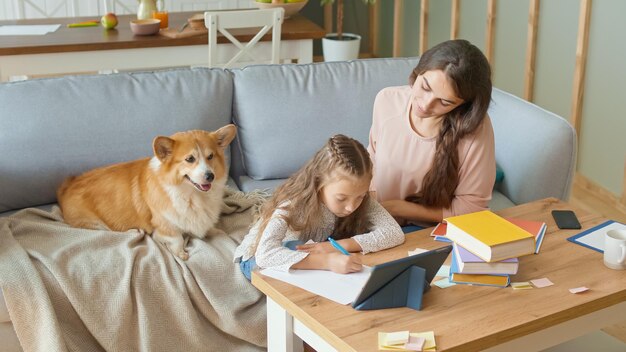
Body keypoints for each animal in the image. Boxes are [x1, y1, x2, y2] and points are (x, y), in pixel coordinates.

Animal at [58, 125, 236, 260]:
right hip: (96, 224)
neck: (192, 195)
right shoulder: (163, 226)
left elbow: (213, 228)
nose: (210, 176)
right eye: (190, 159)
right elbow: (177, 238)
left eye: (210, 156)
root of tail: (67, 186)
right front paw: (180, 253)